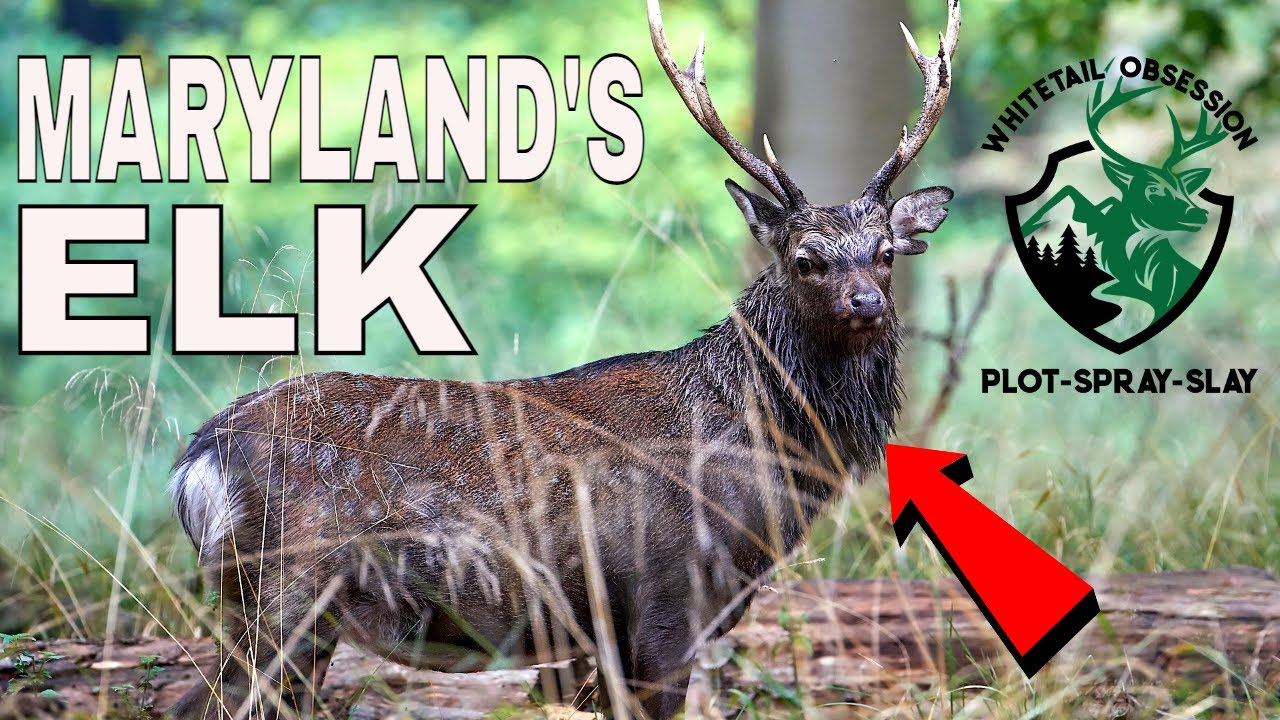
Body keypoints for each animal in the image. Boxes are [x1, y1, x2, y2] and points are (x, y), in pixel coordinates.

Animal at [167, 1, 959, 718]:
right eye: (804, 259)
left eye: (886, 253)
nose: (867, 303)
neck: (764, 483)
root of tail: (194, 462)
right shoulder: (665, 606)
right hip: (286, 596)